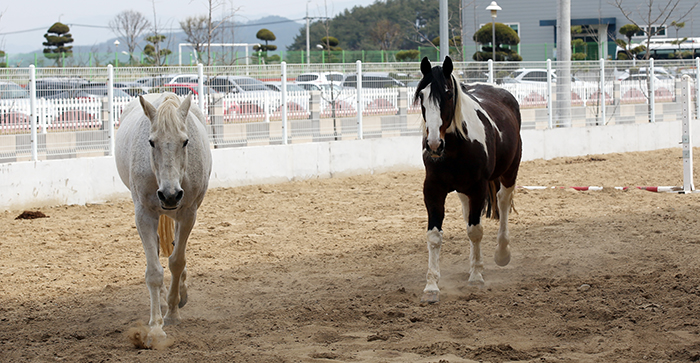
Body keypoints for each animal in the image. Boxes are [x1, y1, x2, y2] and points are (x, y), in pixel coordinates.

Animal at [115, 92, 211, 348]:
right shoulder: (144, 214)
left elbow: (177, 262)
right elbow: (154, 271)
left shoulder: (188, 212)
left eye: (185, 141)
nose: (169, 195)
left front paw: (173, 313)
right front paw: (156, 328)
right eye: (151, 142)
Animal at [416, 55, 520, 302]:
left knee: (503, 201)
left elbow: (475, 231)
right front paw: (431, 286)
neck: (455, 147)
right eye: (421, 95)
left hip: (510, 170)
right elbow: (434, 236)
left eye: (448, 94)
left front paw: (476, 277)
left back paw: (502, 253)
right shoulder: (433, 189)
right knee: (468, 214)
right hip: (463, 190)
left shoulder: (477, 188)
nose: (433, 144)